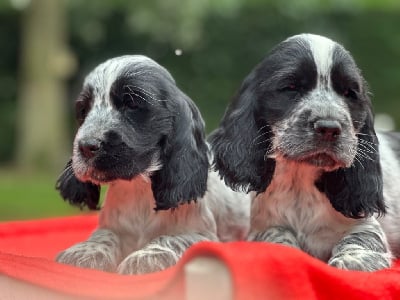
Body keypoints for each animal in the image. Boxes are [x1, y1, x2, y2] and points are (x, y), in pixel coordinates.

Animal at [55, 54, 250, 274]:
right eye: (83, 110)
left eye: (132, 105)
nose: (87, 146)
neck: (138, 189)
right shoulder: (112, 226)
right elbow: (103, 235)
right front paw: (84, 251)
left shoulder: (201, 235)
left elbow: (169, 239)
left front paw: (144, 258)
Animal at [209, 34, 400, 270]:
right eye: (291, 87)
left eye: (349, 93)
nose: (329, 127)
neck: (300, 181)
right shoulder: (264, 226)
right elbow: (275, 235)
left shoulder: (364, 222)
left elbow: (360, 238)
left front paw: (352, 261)